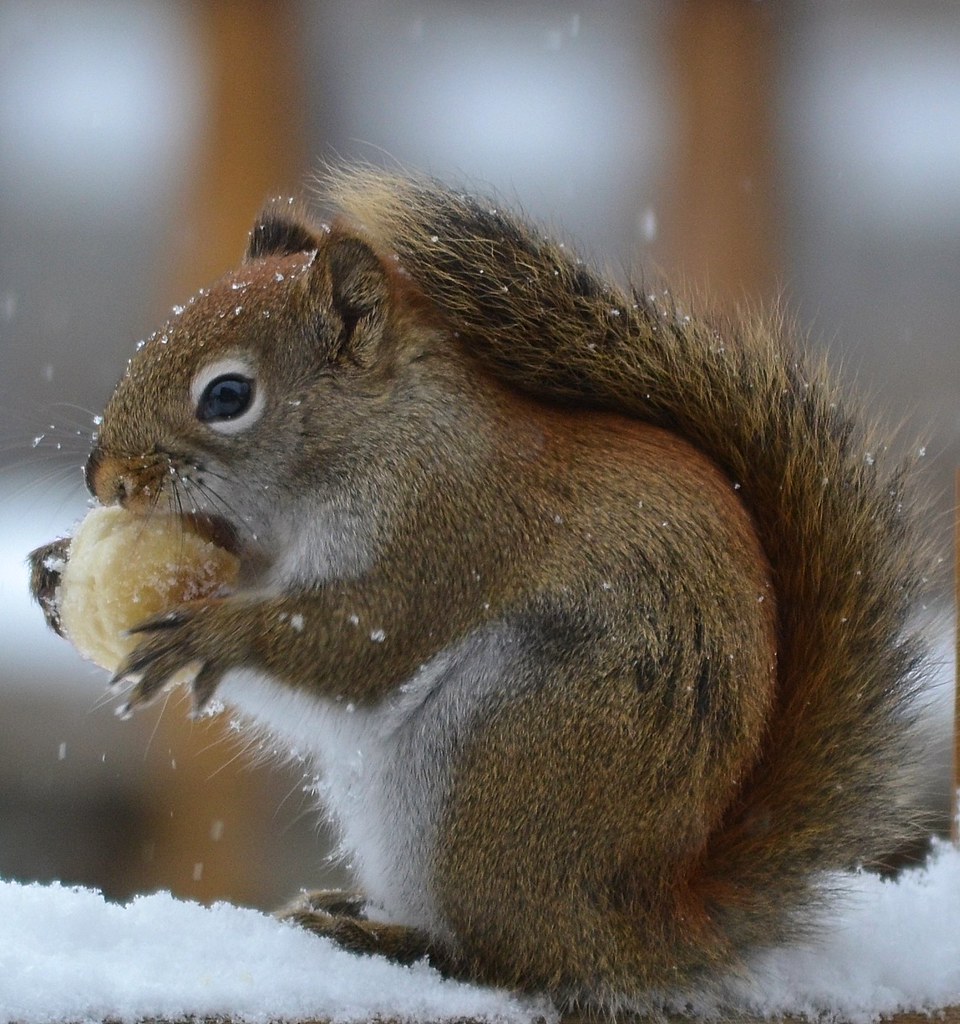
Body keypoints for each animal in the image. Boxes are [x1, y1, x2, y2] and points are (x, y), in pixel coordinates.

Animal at [29, 168, 932, 1013]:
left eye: (227, 396)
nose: (102, 478)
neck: (375, 439)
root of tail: (645, 921)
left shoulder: (443, 537)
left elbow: (360, 649)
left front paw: (211, 634)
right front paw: (51, 570)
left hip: (495, 759)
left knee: (512, 962)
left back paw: (390, 941)